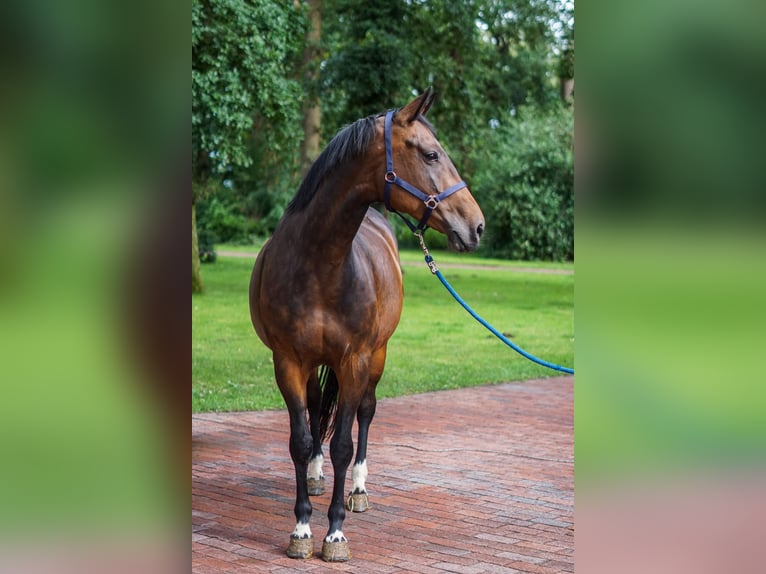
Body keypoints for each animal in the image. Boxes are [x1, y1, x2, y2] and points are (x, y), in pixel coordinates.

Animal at [249, 90, 484, 564]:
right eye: (431, 154)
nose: (477, 226)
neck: (320, 264)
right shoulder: (287, 362)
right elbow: (301, 438)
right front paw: (302, 527)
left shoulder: (354, 360)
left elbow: (343, 441)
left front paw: (335, 533)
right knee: (318, 409)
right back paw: (317, 477)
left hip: (376, 357)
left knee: (365, 413)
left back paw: (357, 489)